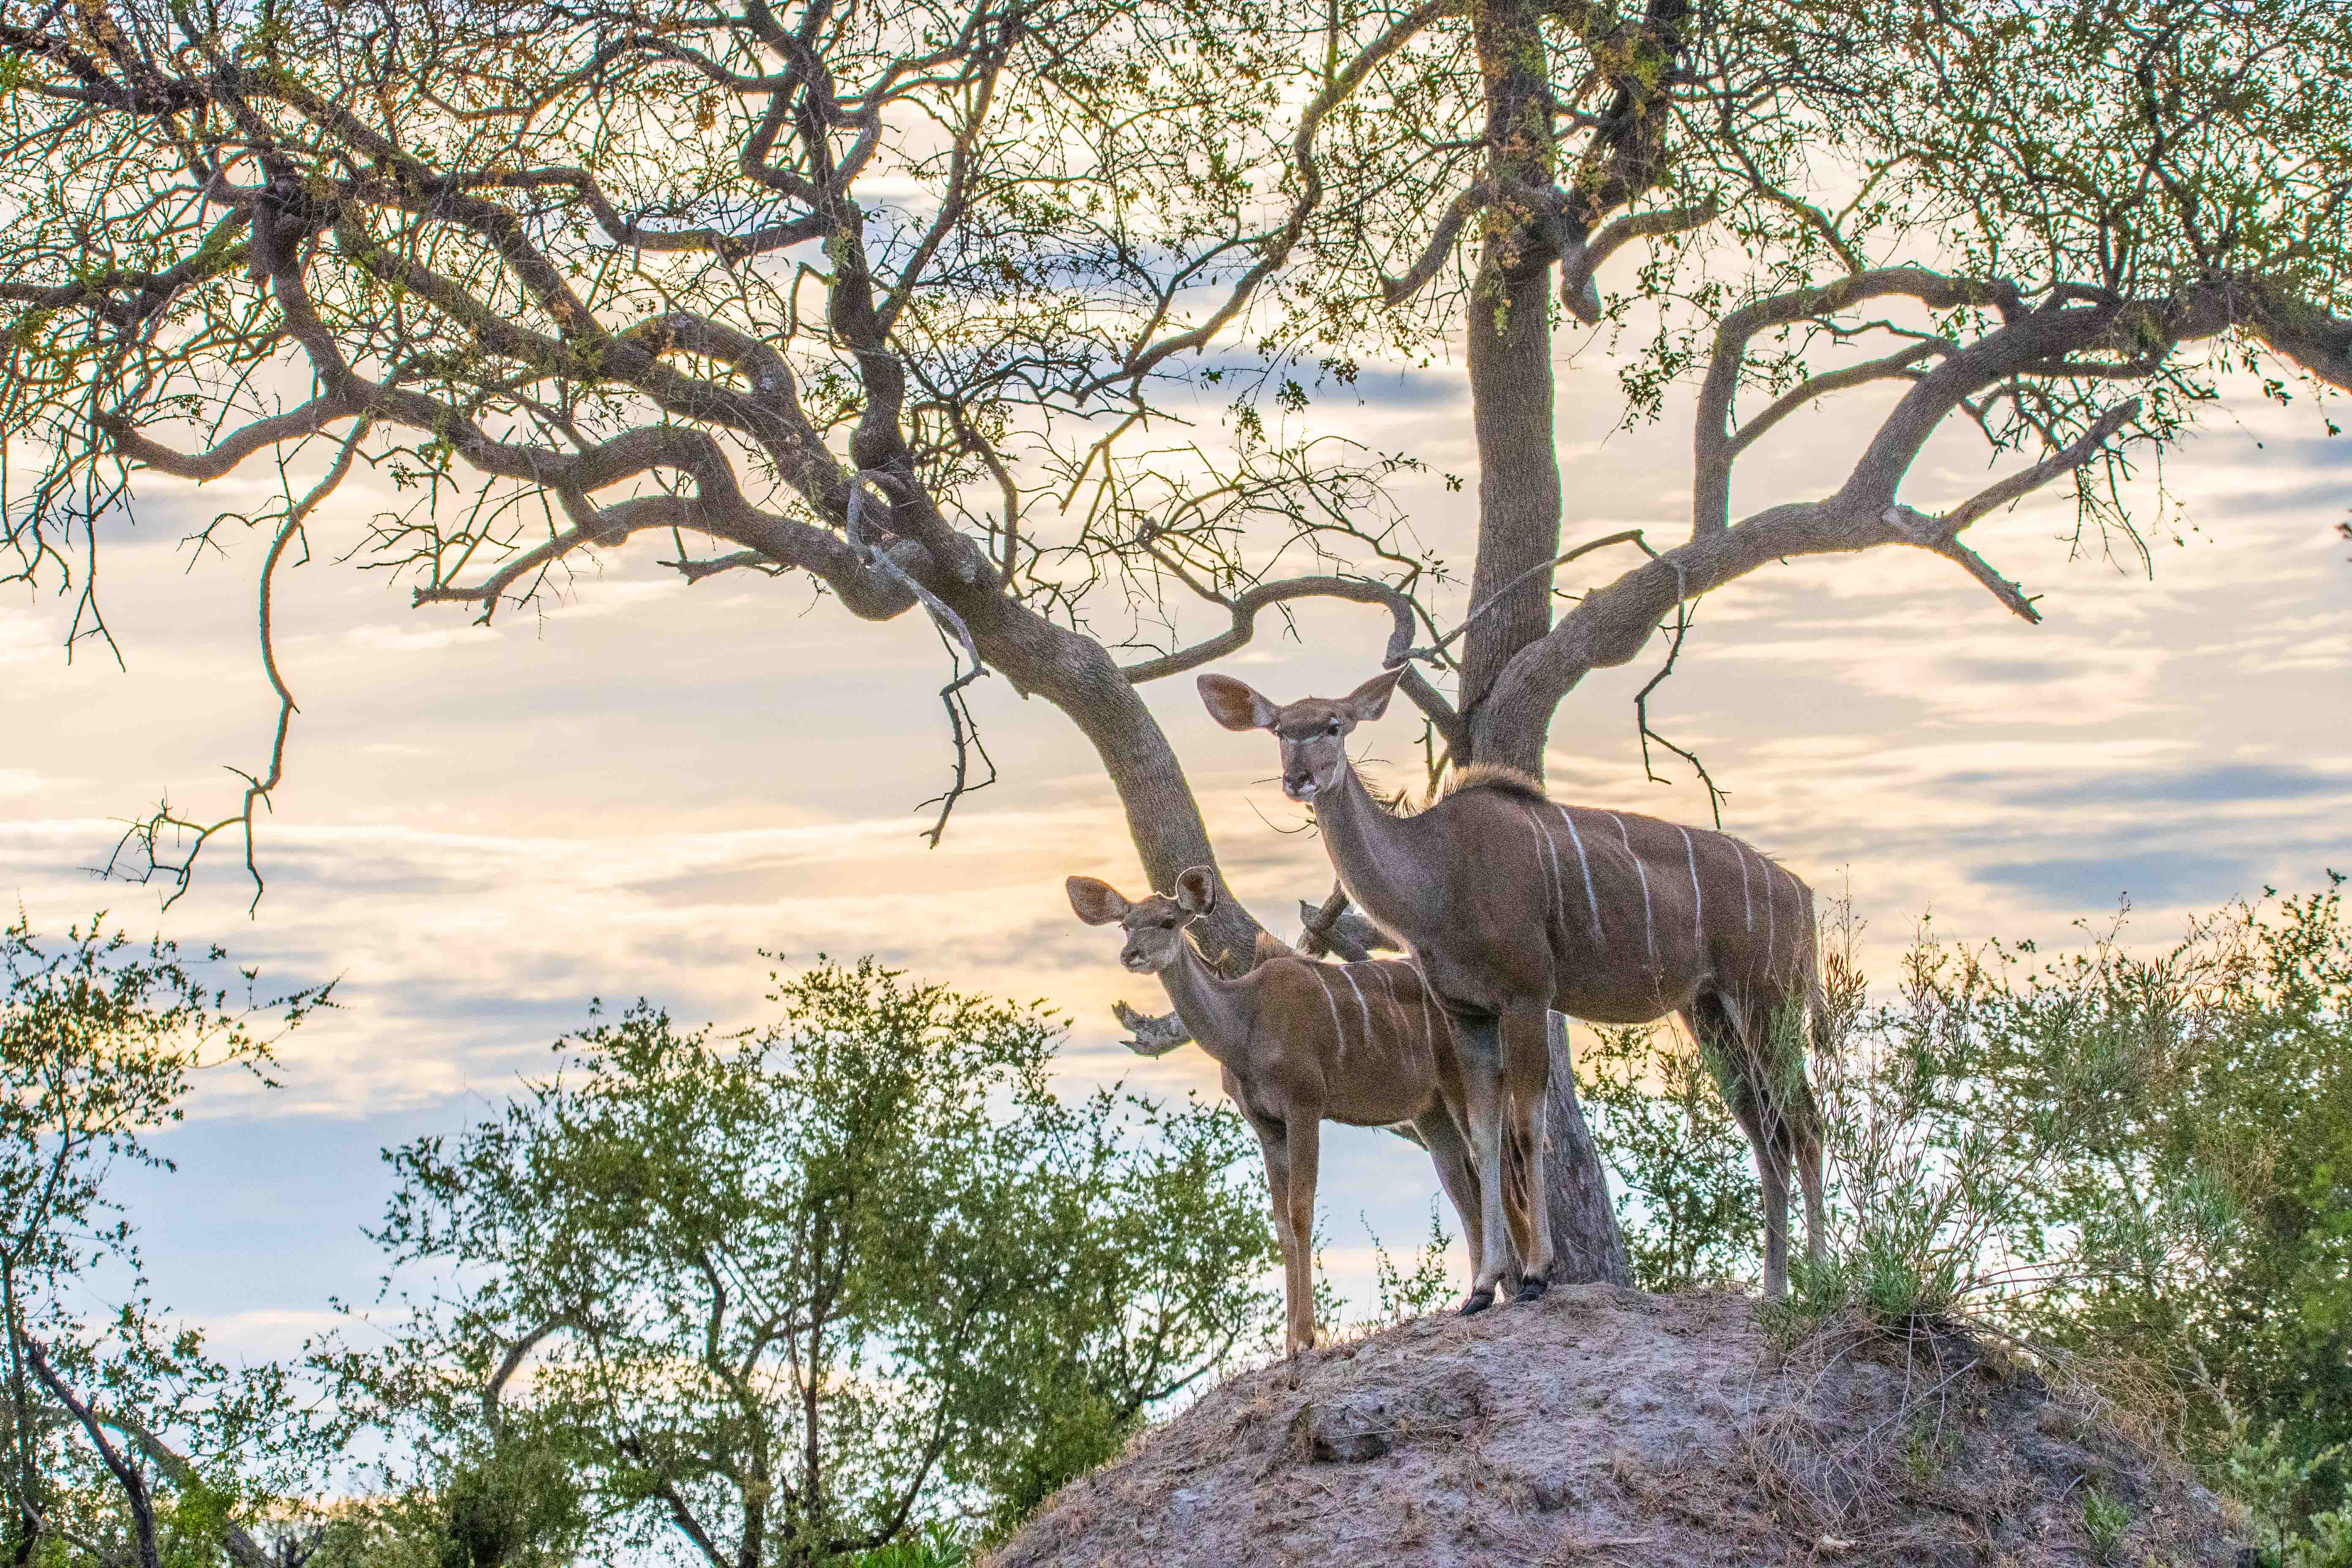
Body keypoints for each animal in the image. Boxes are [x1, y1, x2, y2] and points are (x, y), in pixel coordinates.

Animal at [1073, 865, 1486, 1354]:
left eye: (1169, 921)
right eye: (1126, 923)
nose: (1130, 955)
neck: (1244, 1027)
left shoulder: (1303, 1104)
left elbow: (1300, 1210)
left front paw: (1306, 1336)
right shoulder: (1265, 1124)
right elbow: (1281, 1224)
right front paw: (1290, 1341)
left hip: (1459, 1087)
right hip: (1429, 1111)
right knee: (1462, 1185)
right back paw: (1485, 1288)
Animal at [1204, 667, 1825, 1307]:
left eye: (1333, 725)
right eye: (1281, 730)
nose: (1299, 779)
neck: (1436, 874)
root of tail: (1802, 895)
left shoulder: (1526, 996)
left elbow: (1528, 1132)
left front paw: (1535, 1276)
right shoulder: (1467, 1012)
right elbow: (1484, 1141)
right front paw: (1481, 1289)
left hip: (1766, 1001)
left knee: (1806, 1124)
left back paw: (1824, 1276)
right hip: (1710, 1014)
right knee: (1767, 1133)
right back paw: (1776, 1289)